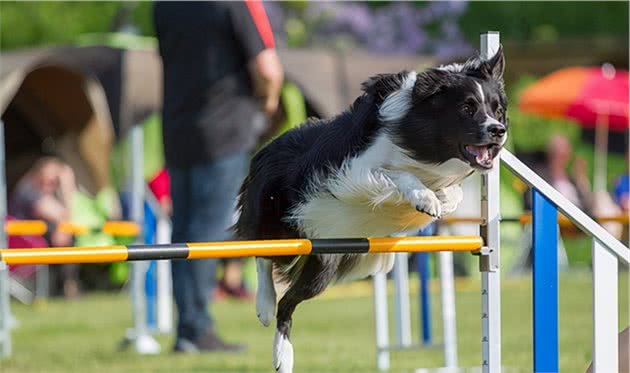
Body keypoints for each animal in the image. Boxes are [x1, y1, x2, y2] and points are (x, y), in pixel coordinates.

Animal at [235, 47, 506, 372]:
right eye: (467, 108)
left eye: (497, 110)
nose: (499, 131)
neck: (419, 141)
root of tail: (269, 145)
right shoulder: (354, 172)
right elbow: (397, 175)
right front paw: (424, 198)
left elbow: (453, 191)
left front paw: (440, 198)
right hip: (279, 219)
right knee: (263, 254)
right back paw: (266, 314)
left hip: (323, 262)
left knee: (288, 301)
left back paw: (284, 355)